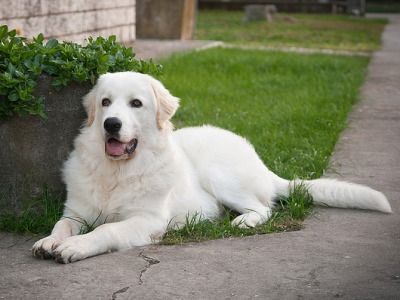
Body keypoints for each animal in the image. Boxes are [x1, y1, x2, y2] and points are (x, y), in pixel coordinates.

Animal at [32, 72, 394, 262]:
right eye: (105, 102)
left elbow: (107, 230)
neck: (117, 172)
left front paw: (75, 247)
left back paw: (242, 222)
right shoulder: (76, 213)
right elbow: (61, 225)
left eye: (136, 103)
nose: (111, 124)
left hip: (220, 175)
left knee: (263, 208)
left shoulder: (146, 220)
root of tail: (260, 162)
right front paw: (49, 242)